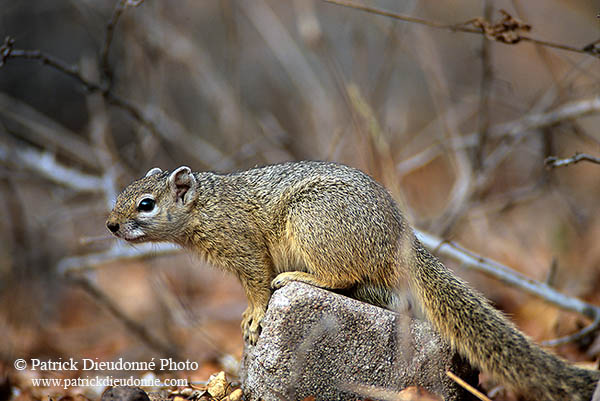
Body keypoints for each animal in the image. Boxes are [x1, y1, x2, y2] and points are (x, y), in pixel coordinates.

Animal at [106, 161, 600, 398]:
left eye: (146, 204)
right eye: (123, 193)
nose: (110, 225)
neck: (205, 208)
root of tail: (399, 238)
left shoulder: (243, 249)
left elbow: (258, 286)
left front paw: (254, 317)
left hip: (313, 224)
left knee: (337, 278)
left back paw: (298, 277)